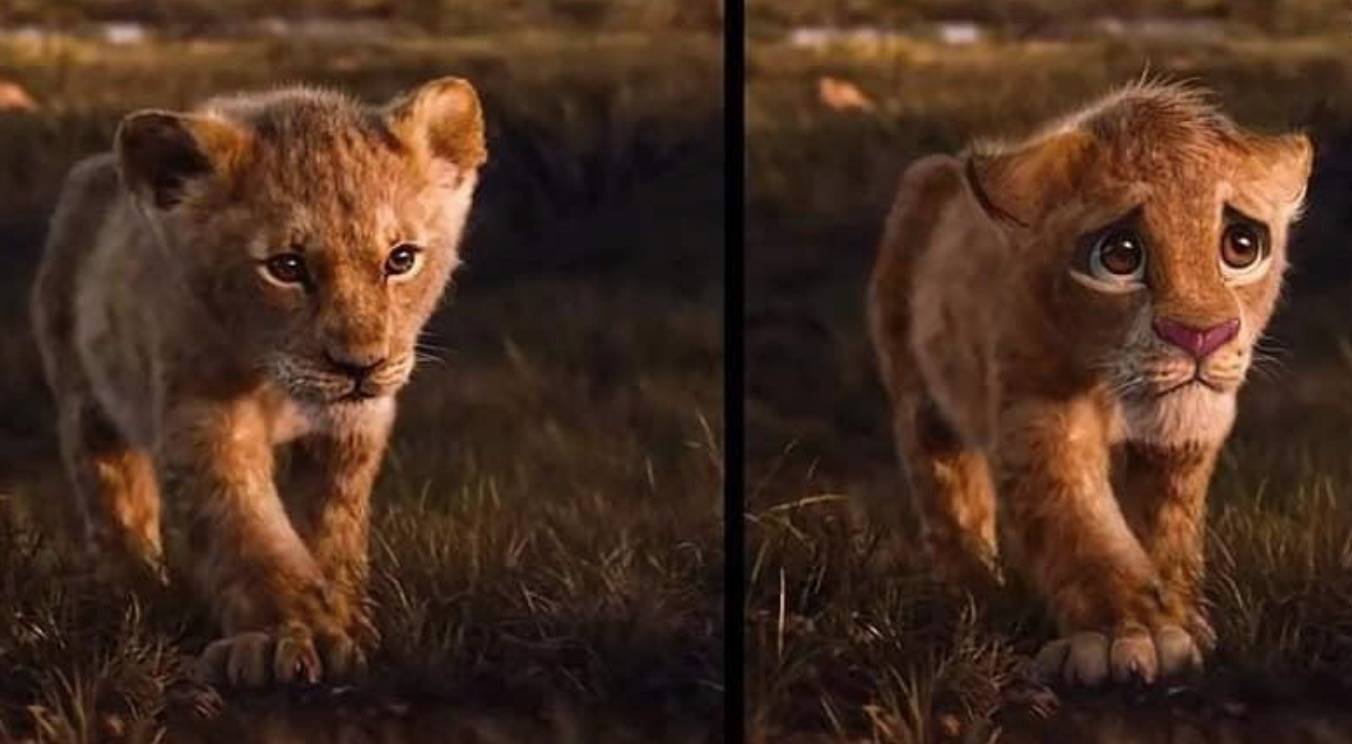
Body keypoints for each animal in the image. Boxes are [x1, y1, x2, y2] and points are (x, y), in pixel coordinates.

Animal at [30, 77, 486, 687]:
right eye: (287, 267)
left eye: (401, 259)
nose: (360, 367)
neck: (275, 381)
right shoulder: (203, 414)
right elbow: (247, 531)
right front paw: (286, 637)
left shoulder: (354, 427)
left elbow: (333, 523)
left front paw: (345, 617)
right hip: (85, 397)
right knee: (112, 496)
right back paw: (132, 590)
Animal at [867, 81, 1311, 687]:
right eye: (1119, 255)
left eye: (1241, 245)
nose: (1202, 336)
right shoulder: (1041, 411)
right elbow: (1080, 525)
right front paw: (1130, 636)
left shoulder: (1190, 435)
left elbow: (1169, 522)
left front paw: (1182, 615)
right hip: (920, 394)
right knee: (945, 486)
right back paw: (972, 591)